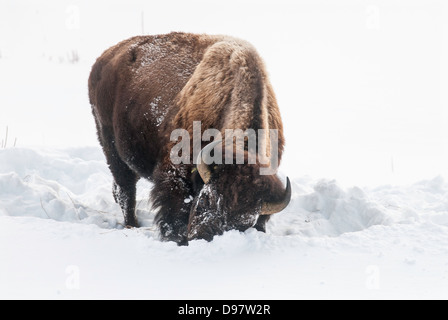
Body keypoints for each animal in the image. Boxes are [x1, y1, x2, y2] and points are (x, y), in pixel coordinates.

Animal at [88, 31, 290, 244]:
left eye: (246, 223)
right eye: (206, 198)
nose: (202, 237)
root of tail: (105, 58)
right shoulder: (175, 173)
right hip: (110, 146)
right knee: (126, 190)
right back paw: (132, 225)